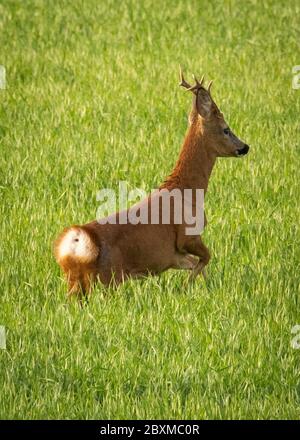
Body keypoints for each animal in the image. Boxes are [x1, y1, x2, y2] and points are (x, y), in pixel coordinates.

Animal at [54, 69, 248, 302]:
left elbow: (196, 264)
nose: (244, 147)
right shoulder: (189, 236)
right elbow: (205, 259)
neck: (188, 192)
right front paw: (188, 289)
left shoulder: (172, 254)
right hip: (107, 280)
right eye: (226, 129)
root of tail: (73, 245)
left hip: (76, 284)